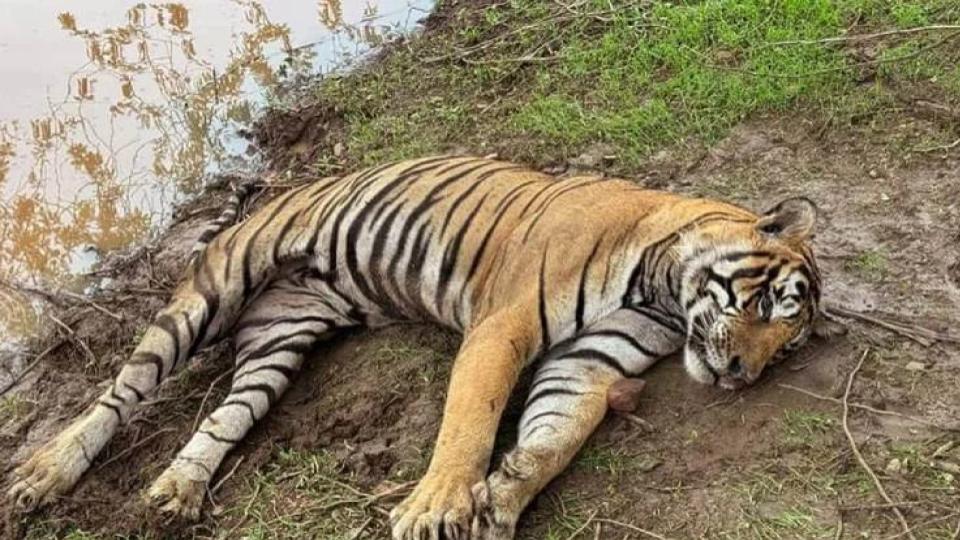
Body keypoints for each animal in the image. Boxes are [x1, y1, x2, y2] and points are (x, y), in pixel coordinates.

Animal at [8, 155, 821, 539]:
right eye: (762, 304)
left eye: (787, 347)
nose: (741, 374)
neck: (658, 289)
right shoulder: (502, 326)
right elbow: (470, 419)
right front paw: (438, 506)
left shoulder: (590, 363)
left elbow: (554, 437)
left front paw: (503, 498)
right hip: (212, 294)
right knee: (122, 390)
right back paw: (44, 472)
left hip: (277, 342)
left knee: (222, 417)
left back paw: (178, 490)